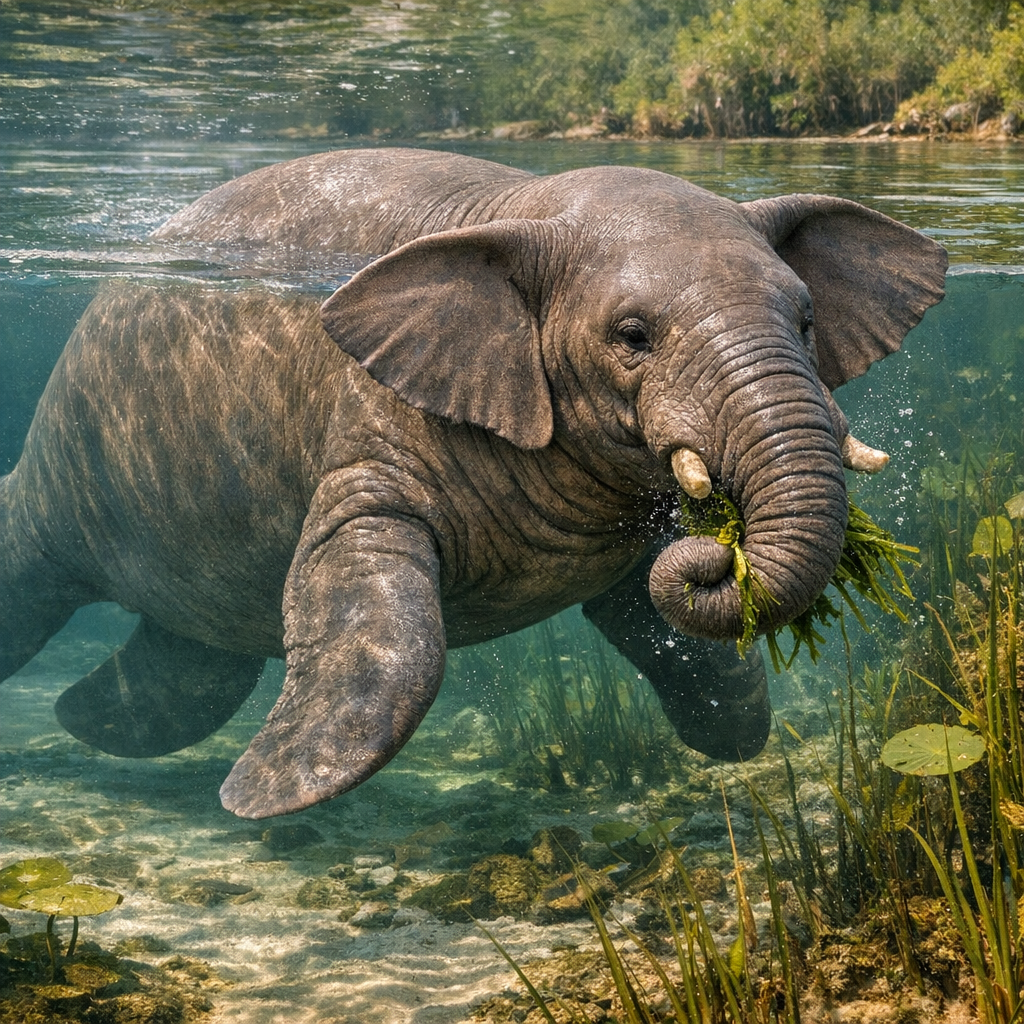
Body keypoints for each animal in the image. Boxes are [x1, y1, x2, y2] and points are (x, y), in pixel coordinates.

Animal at [0, 148, 947, 819]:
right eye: (632, 333)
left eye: (807, 317)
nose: (719, 554)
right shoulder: (370, 466)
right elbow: (395, 645)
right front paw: (268, 792)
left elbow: (668, 632)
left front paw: (736, 731)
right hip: (49, 513)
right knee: (38, 581)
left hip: (194, 610)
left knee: (189, 664)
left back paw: (84, 720)